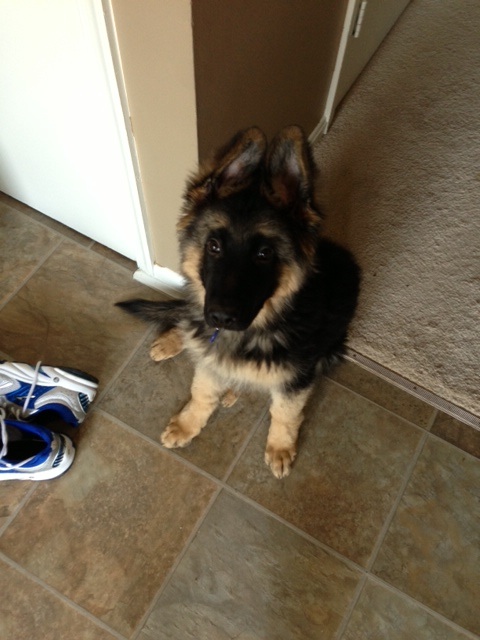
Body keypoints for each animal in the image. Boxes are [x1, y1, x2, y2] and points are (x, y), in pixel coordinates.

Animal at [117, 126, 360, 478]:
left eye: (264, 254)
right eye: (214, 246)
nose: (220, 318)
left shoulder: (297, 378)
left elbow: (285, 412)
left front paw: (280, 447)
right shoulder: (209, 347)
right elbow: (202, 391)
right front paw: (189, 423)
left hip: (331, 350)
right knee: (190, 325)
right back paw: (177, 342)